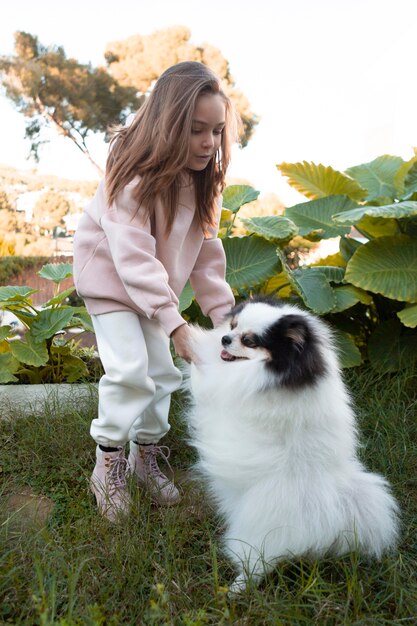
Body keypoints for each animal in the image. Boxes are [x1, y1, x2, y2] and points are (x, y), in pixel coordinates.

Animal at [184, 296, 396, 588]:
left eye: (249, 341)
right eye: (234, 325)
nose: (225, 339)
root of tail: (329, 515)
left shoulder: (223, 389)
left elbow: (202, 377)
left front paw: (189, 337)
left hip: (259, 533)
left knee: (257, 564)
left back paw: (235, 589)